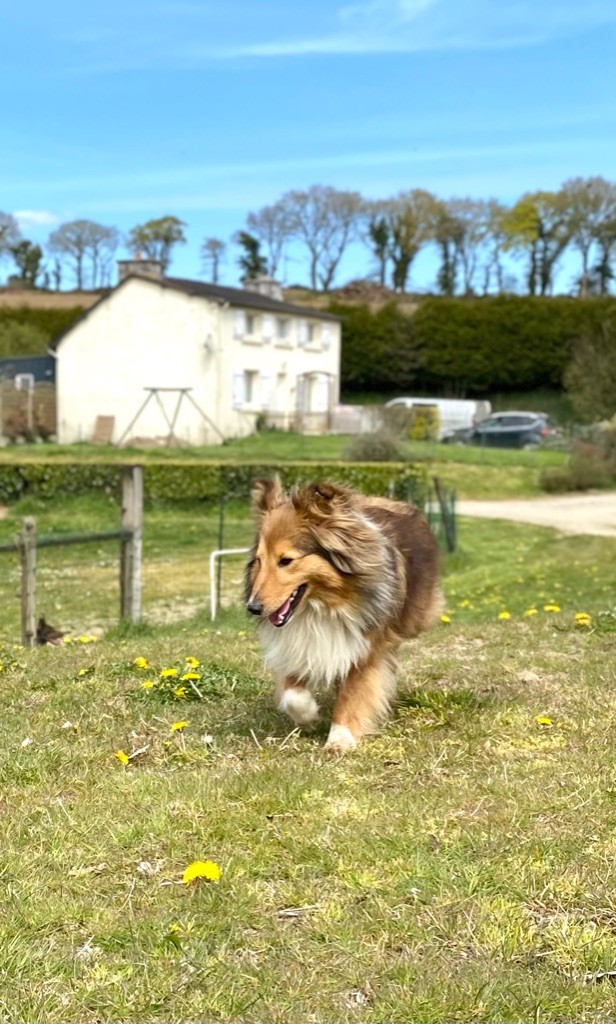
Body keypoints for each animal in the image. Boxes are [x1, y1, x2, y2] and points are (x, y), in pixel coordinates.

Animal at [244, 479, 442, 753]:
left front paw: (339, 738)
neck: (322, 605)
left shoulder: (365, 646)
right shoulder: (295, 643)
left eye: (286, 560)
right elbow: (293, 692)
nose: (253, 608)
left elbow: (352, 693)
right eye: (259, 561)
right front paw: (309, 716)